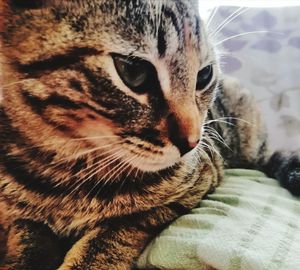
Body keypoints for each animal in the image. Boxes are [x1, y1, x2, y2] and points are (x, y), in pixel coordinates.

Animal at [0, 0, 300, 270]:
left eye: (204, 75)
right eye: (134, 71)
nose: (192, 142)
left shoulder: (193, 186)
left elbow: (113, 233)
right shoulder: (17, 216)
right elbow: (29, 239)